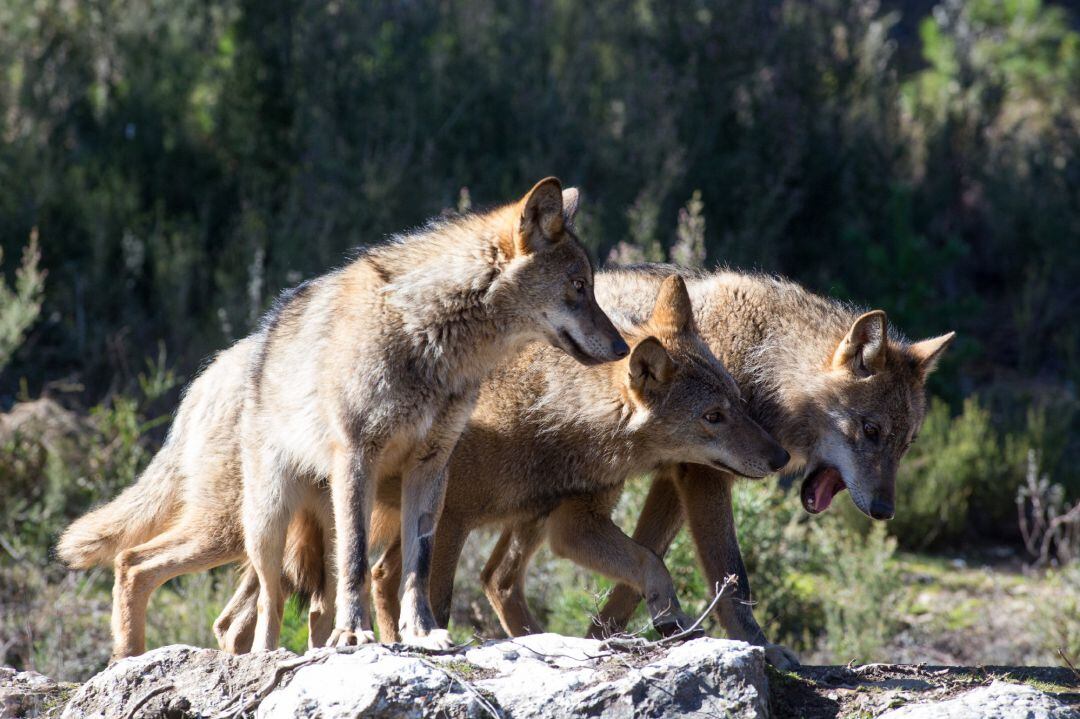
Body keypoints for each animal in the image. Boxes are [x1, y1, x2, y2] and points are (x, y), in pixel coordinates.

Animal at [59, 179, 630, 656]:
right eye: (579, 286)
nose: (624, 348)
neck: (430, 338)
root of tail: (209, 375)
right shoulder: (359, 457)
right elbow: (358, 563)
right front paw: (355, 635)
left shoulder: (431, 469)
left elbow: (418, 567)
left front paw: (421, 633)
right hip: (254, 525)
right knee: (161, 574)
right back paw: (150, 659)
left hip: (300, 525)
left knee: (275, 608)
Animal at [214, 269, 790, 647]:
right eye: (712, 417)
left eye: (737, 402)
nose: (781, 457)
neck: (549, 414)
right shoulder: (453, 522)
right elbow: (439, 601)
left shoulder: (570, 524)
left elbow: (650, 560)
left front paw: (669, 619)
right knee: (253, 611)